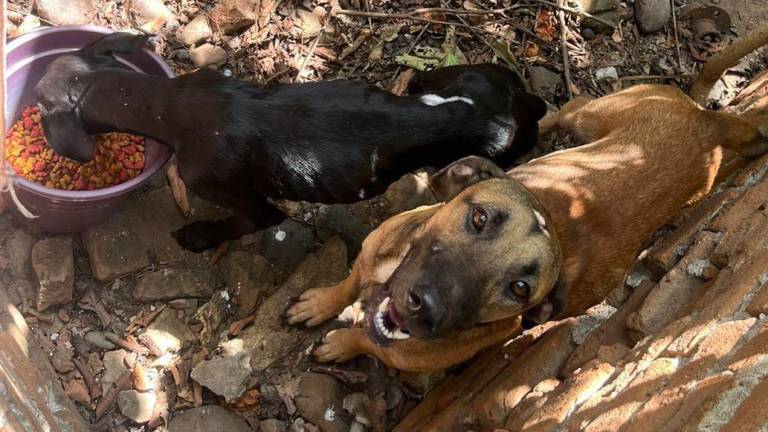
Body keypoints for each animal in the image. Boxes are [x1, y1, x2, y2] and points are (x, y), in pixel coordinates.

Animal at [36, 33, 548, 250]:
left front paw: (199, 237)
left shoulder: (247, 204)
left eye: (40, 109)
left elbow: (240, 224)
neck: (169, 102)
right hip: (448, 75)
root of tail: (523, 101)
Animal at [284, 26, 768, 372]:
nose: (426, 307)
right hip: (590, 117)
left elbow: (364, 340)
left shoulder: (392, 346)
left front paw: (341, 343)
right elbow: (346, 284)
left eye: (519, 290)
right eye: (480, 218)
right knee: (565, 107)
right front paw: (320, 304)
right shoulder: (369, 257)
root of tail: (709, 123)